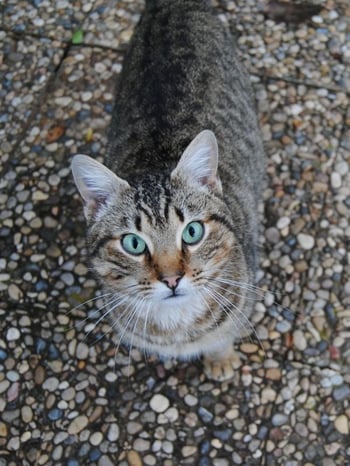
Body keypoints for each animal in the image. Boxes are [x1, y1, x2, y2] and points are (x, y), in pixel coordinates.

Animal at [71, 0, 266, 380]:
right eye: (133, 243)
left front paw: (221, 359)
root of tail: (170, 5)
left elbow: (224, 335)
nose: (172, 279)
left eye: (192, 232)